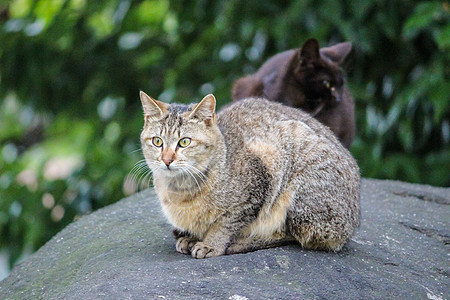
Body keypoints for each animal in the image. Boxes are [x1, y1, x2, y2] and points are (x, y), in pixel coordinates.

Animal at [139, 91, 360, 258]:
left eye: (184, 142)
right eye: (157, 141)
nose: (167, 160)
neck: (180, 190)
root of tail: (352, 224)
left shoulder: (254, 188)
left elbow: (225, 224)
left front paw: (211, 244)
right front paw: (192, 236)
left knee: (293, 236)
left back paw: (240, 243)